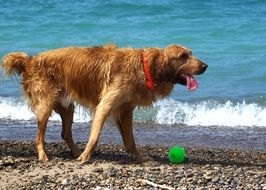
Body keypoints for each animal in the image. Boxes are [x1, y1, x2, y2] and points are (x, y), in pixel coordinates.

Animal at [1, 44, 207, 162]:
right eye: (183, 56)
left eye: (190, 54)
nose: (205, 66)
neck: (145, 67)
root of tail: (29, 60)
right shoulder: (105, 105)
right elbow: (95, 136)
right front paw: (85, 157)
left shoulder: (126, 110)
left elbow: (130, 140)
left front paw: (140, 157)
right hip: (45, 105)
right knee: (38, 138)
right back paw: (45, 156)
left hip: (67, 107)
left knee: (65, 133)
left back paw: (75, 151)